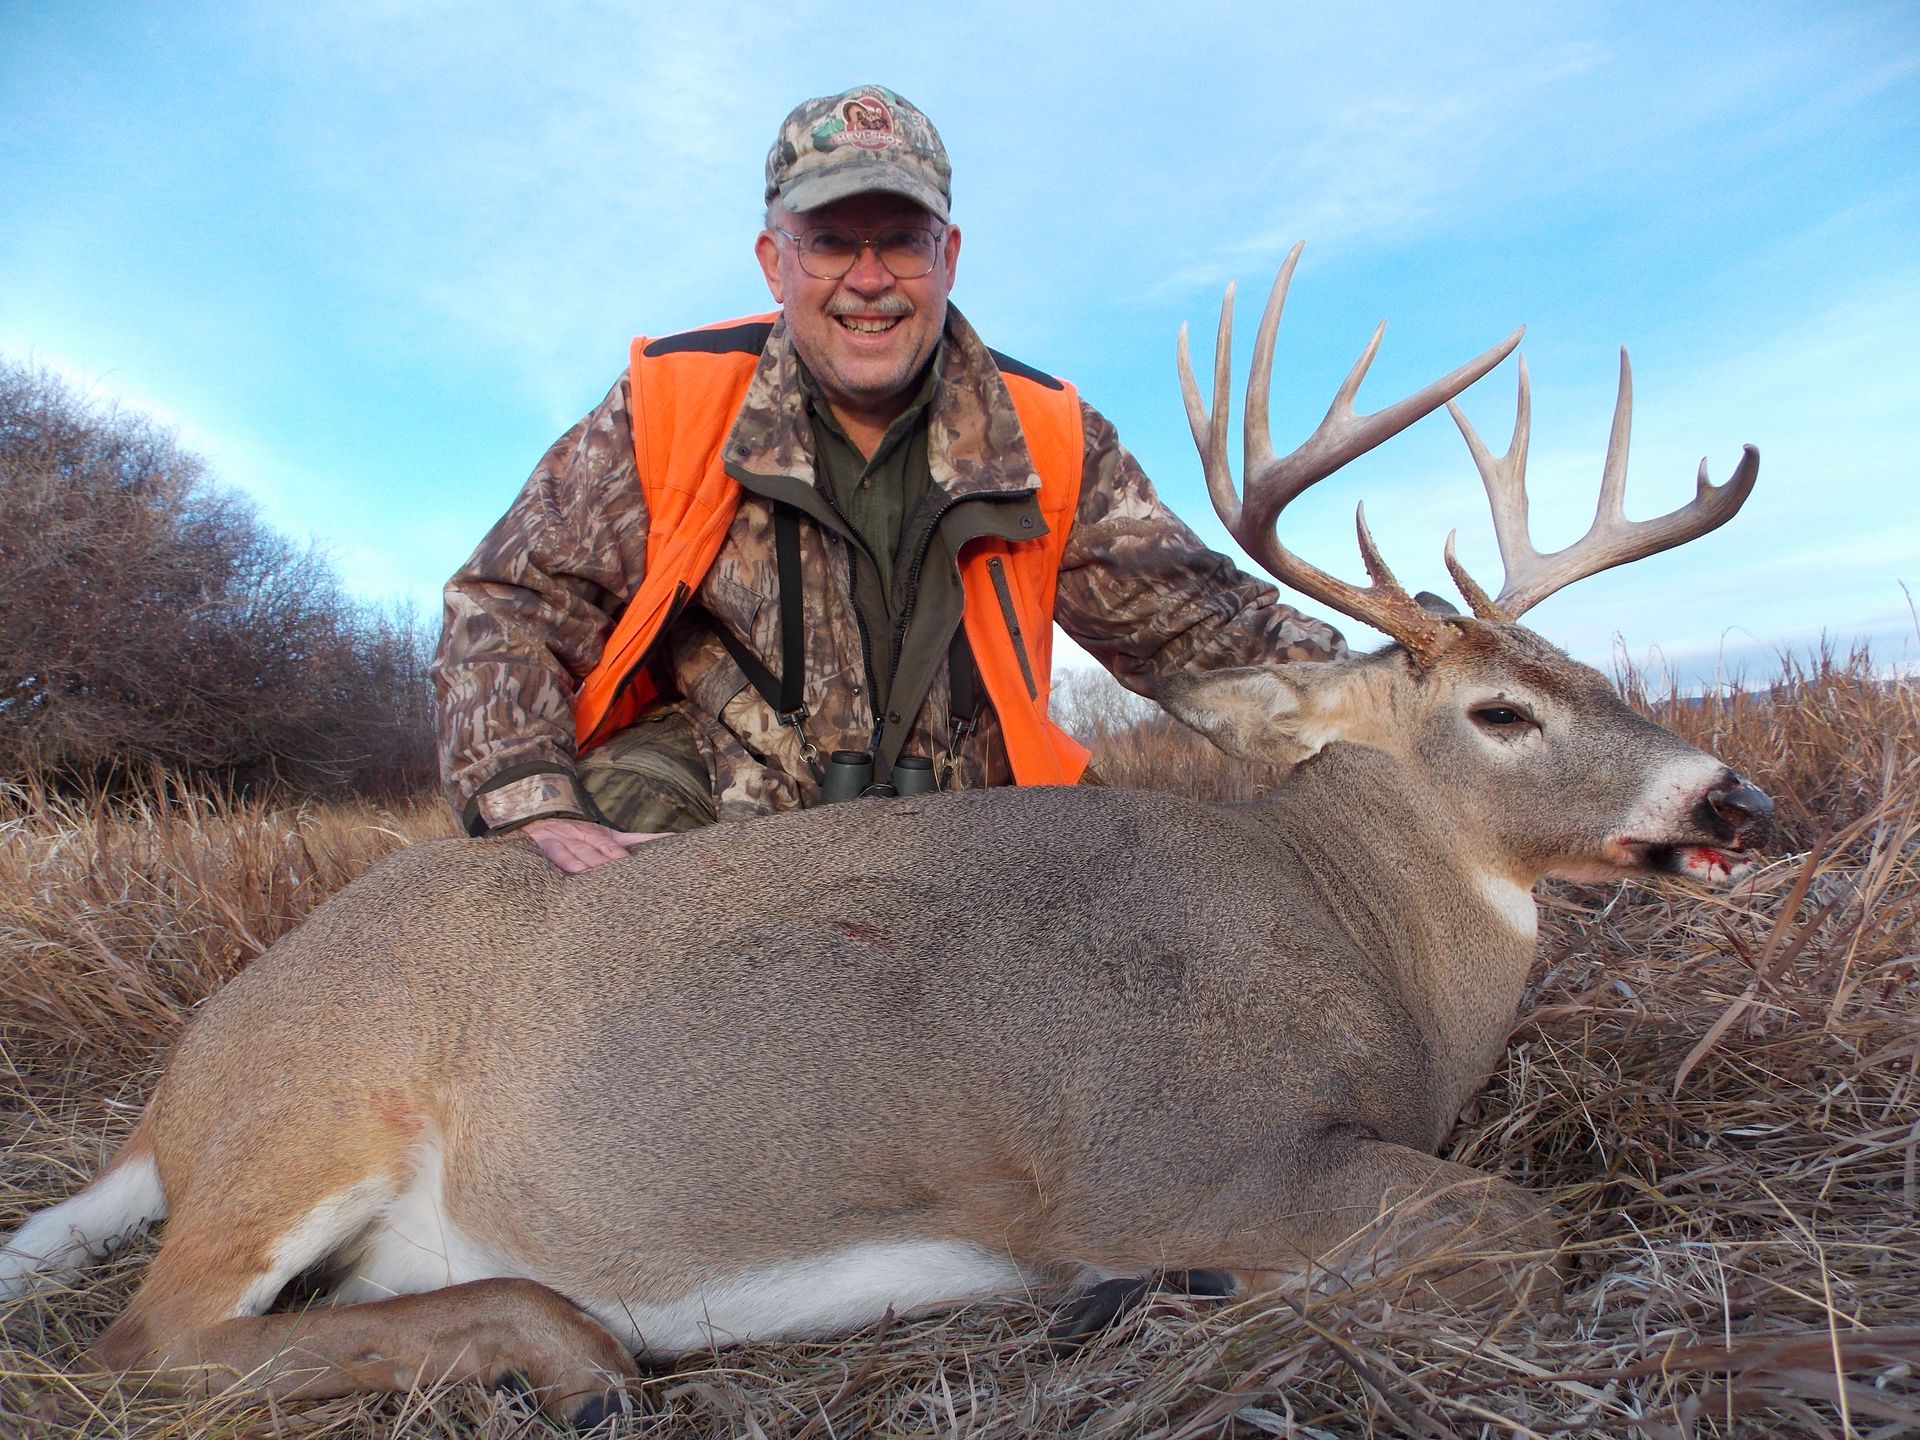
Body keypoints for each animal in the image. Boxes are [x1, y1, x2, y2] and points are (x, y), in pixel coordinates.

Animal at [0, 243, 1769, 1426]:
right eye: (1501, 713)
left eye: (1597, 675)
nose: (1730, 797)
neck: (1362, 944)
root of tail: (181, 1085)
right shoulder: (1172, 1154)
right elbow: (1520, 1231)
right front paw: (1149, 1302)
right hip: (320, 1104)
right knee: (143, 1348)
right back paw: (567, 1350)